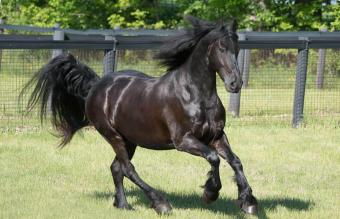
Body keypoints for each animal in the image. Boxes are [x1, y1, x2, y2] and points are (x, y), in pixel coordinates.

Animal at [21, 16, 258, 215]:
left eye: (237, 48)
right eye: (221, 47)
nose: (235, 83)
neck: (194, 94)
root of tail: (97, 86)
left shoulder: (216, 136)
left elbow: (235, 161)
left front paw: (248, 201)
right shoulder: (184, 141)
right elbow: (213, 158)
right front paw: (210, 193)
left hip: (130, 140)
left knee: (117, 168)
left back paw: (123, 204)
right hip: (113, 136)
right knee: (128, 168)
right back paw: (160, 203)